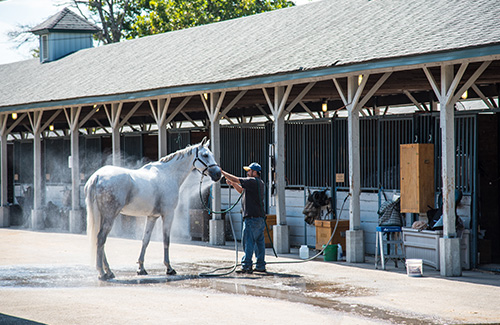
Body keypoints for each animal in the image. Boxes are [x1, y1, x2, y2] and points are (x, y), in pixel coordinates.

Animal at [85, 137, 220, 278]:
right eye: (205, 155)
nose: (218, 174)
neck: (168, 174)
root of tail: (97, 176)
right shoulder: (168, 214)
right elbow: (166, 240)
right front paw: (169, 268)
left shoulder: (152, 216)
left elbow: (145, 240)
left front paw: (141, 268)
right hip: (110, 216)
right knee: (101, 238)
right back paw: (102, 271)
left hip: (102, 216)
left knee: (99, 239)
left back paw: (108, 271)